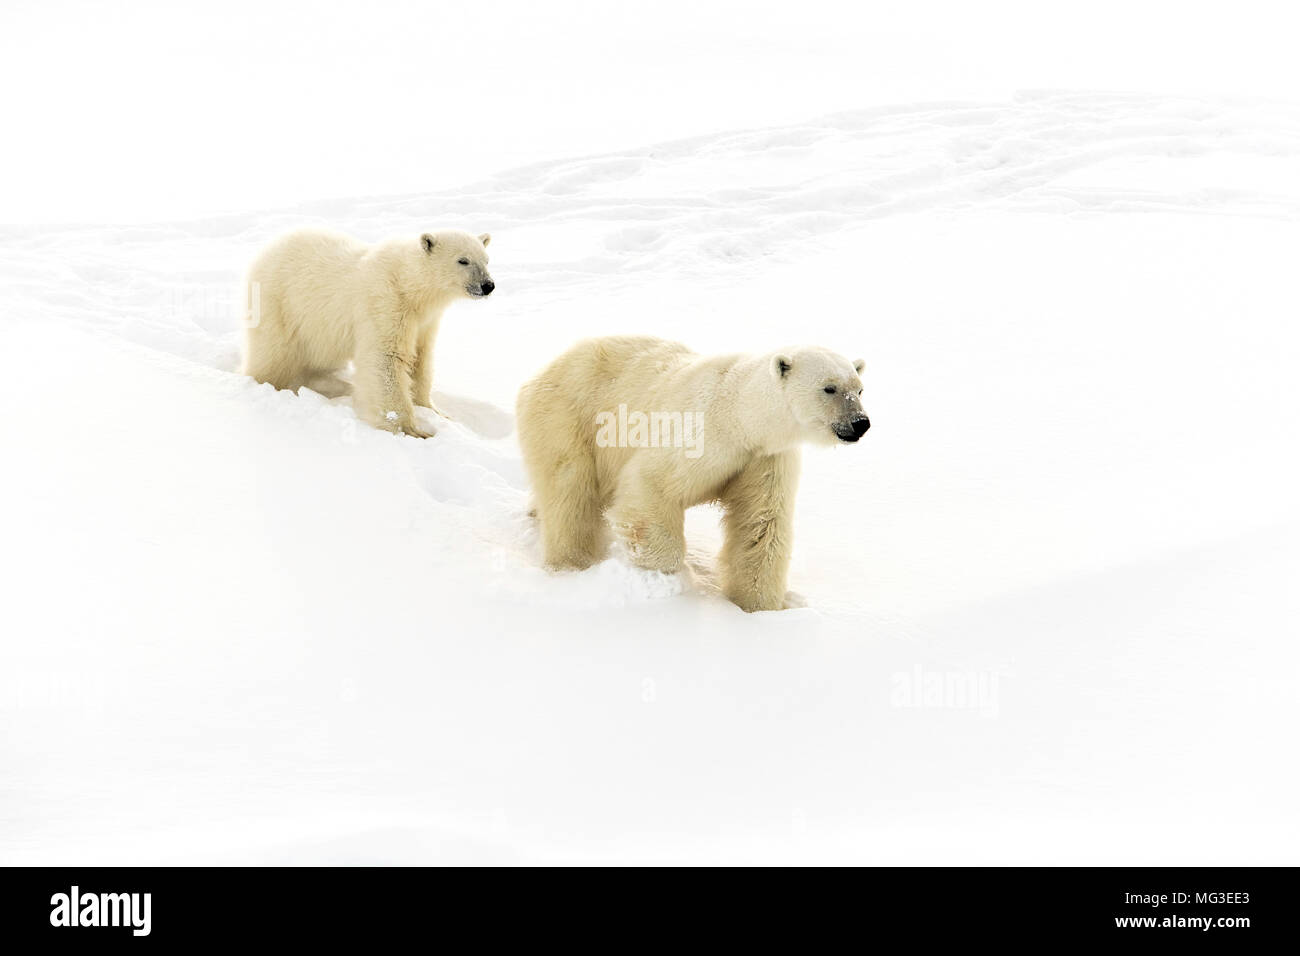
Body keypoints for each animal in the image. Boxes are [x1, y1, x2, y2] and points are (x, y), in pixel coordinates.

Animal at [240, 227, 494, 438]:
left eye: (486, 260)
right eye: (463, 260)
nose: (488, 285)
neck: (409, 285)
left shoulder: (425, 321)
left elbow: (420, 360)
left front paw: (434, 411)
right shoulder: (386, 303)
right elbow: (386, 358)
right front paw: (410, 430)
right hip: (280, 304)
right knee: (274, 355)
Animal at [516, 336, 869, 612]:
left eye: (860, 389)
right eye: (829, 388)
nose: (860, 423)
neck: (739, 415)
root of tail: (544, 370)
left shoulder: (763, 459)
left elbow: (761, 525)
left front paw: (759, 607)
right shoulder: (700, 435)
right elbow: (650, 486)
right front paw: (665, 578)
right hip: (568, 416)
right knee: (570, 492)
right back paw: (570, 564)